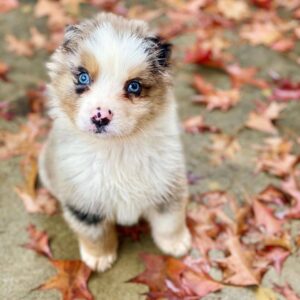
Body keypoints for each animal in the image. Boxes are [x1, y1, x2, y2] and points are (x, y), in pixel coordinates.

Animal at [38, 12, 191, 272]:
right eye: (83, 77)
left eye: (134, 86)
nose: (100, 117)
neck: (116, 148)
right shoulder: (83, 202)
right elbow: (95, 235)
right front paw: (99, 258)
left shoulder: (168, 185)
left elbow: (170, 221)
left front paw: (177, 243)